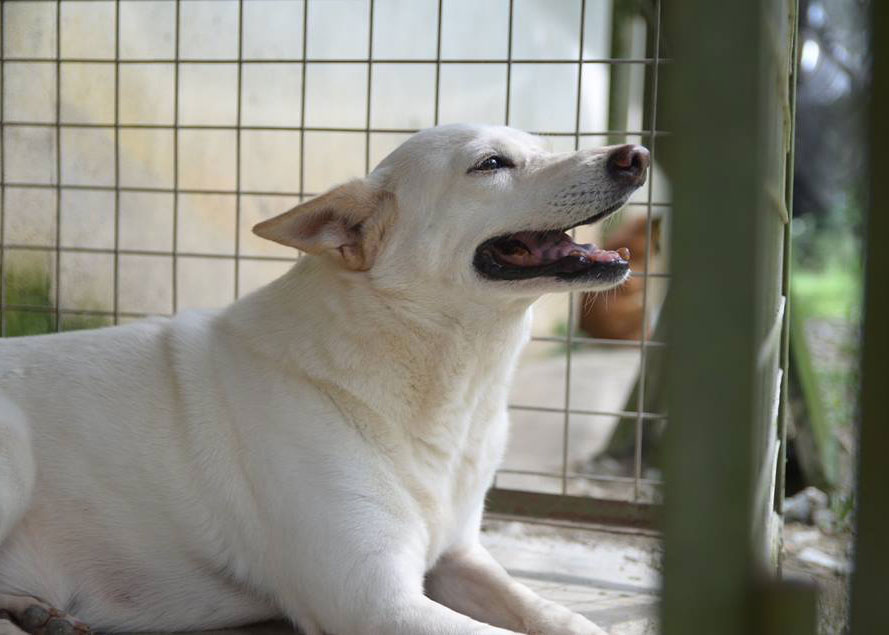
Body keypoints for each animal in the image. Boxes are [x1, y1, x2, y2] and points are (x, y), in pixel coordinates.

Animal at [0, 124, 644, 635]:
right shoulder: (374, 601)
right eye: (490, 164)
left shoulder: (458, 556)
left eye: (542, 145)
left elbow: (553, 613)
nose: (635, 155)